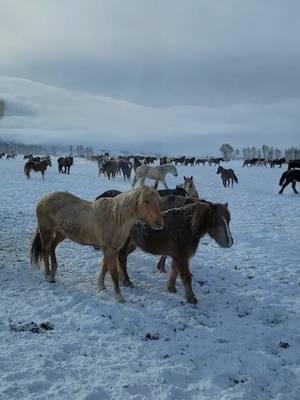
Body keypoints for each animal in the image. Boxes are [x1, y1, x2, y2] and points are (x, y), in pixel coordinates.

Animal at [30, 186, 164, 302]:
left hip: (60, 233)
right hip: (46, 231)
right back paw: (47, 275)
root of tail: (44, 198)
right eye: (146, 201)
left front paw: (101, 287)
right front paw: (118, 297)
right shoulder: (110, 250)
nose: (159, 223)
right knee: (45, 250)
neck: (115, 218)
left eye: (159, 201)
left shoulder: (110, 250)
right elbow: (114, 273)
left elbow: (104, 267)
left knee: (52, 247)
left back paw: (52, 275)